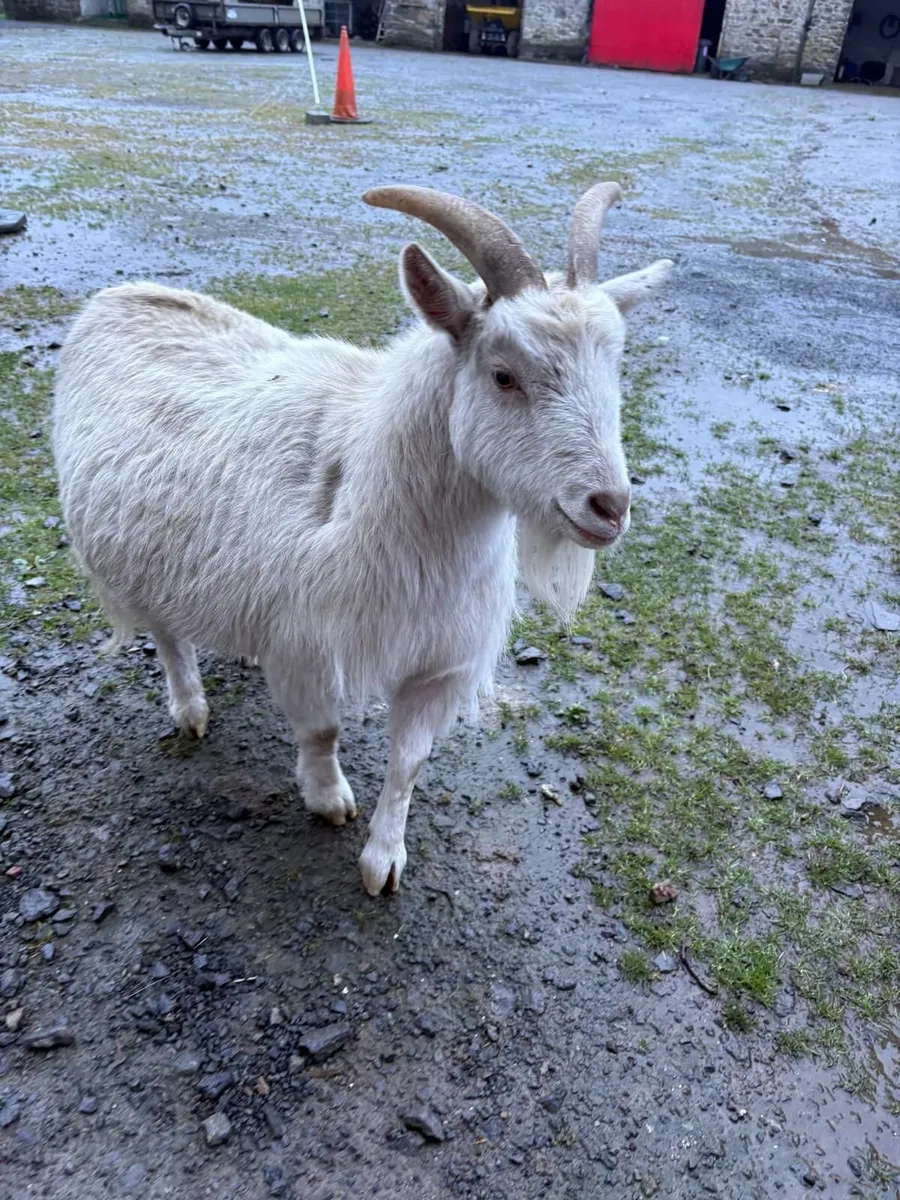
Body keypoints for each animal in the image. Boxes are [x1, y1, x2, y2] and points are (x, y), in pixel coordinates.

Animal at [52, 183, 672, 896]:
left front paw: (384, 859)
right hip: (134, 555)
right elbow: (322, 732)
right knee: (167, 635)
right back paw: (190, 709)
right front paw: (329, 801)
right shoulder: (309, 646)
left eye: (615, 367)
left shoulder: (439, 661)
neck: (368, 485)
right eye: (504, 375)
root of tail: (119, 294)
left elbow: (409, 762)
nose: (610, 507)